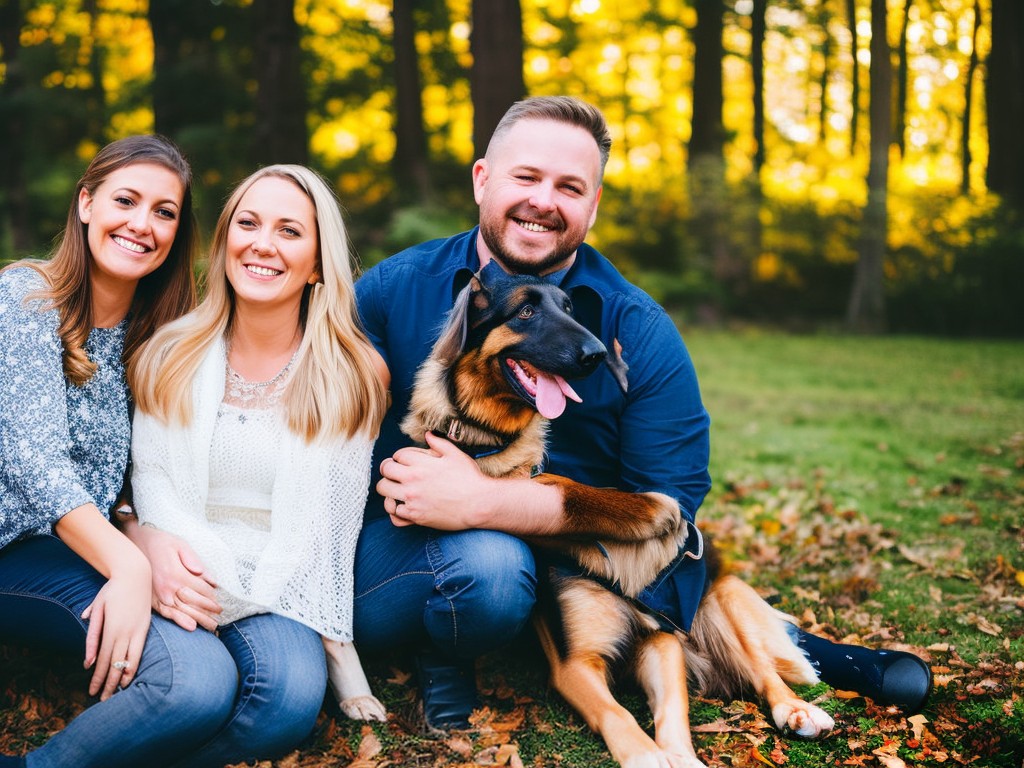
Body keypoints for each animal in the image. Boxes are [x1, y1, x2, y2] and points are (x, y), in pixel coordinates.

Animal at [395, 264, 835, 768]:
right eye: (525, 311)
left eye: (570, 308)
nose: (598, 354)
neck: (487, 433)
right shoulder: (575, 665)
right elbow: (621, 716)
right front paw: (648, 756)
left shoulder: (661, 640)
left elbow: (675, 718)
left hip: (721, 602)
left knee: (762, 667)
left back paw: (797, 709)